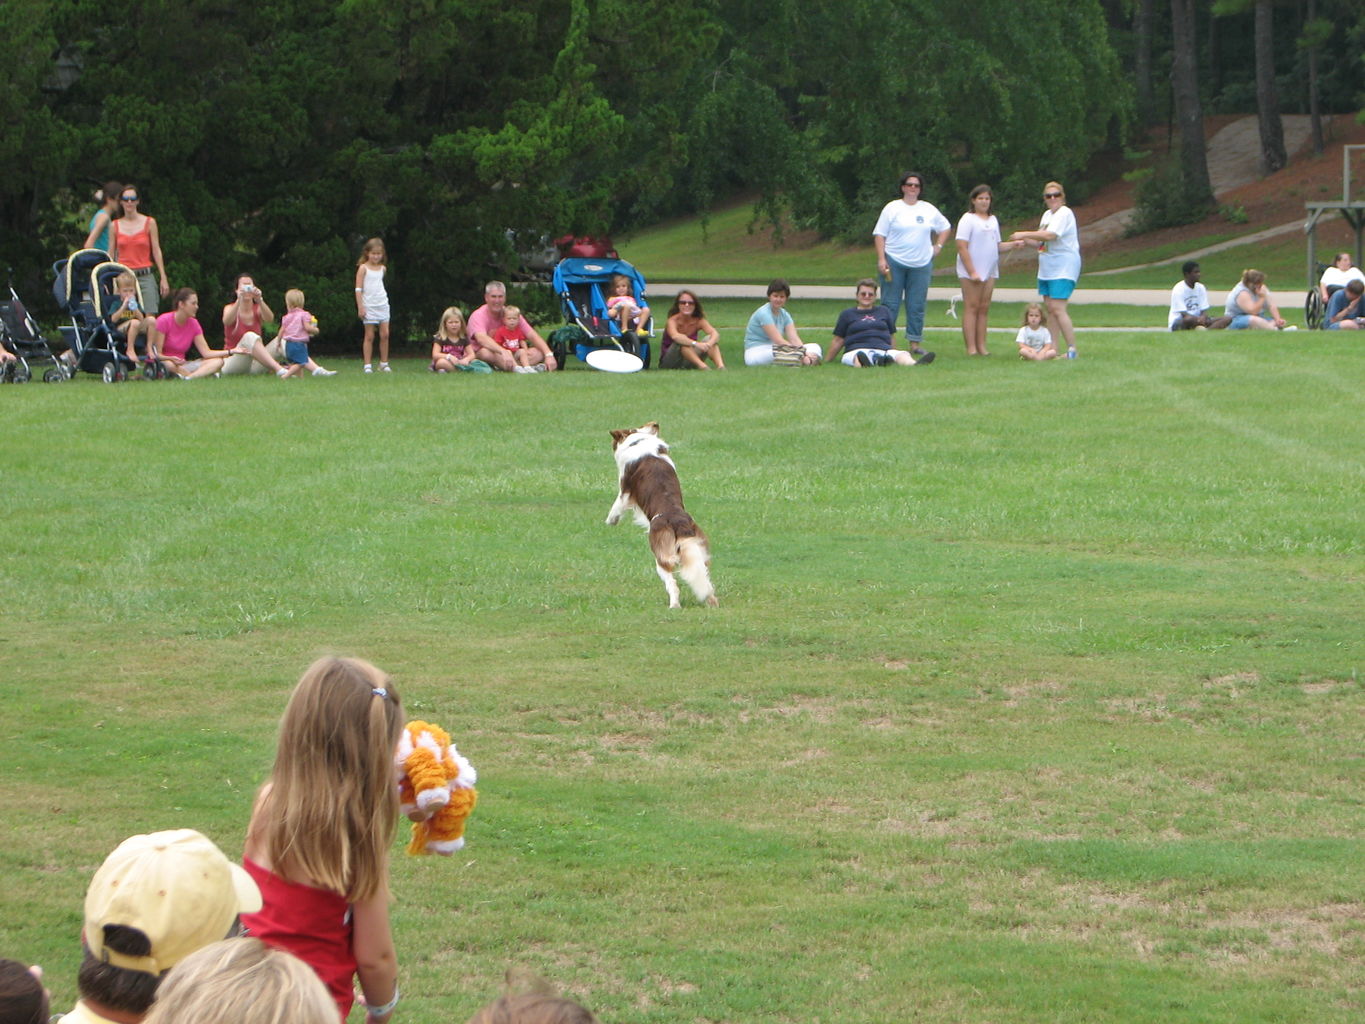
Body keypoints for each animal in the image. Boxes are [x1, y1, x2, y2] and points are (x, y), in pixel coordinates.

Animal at [606, 423, 720, 608]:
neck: (639, 440)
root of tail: (677, 521)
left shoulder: (625, 489)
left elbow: (616, 506)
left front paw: (610, 521)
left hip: (661, 557)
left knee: (672, 584)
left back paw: (674, 605)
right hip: (699, 549)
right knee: (704, 577)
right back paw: (711, 600)